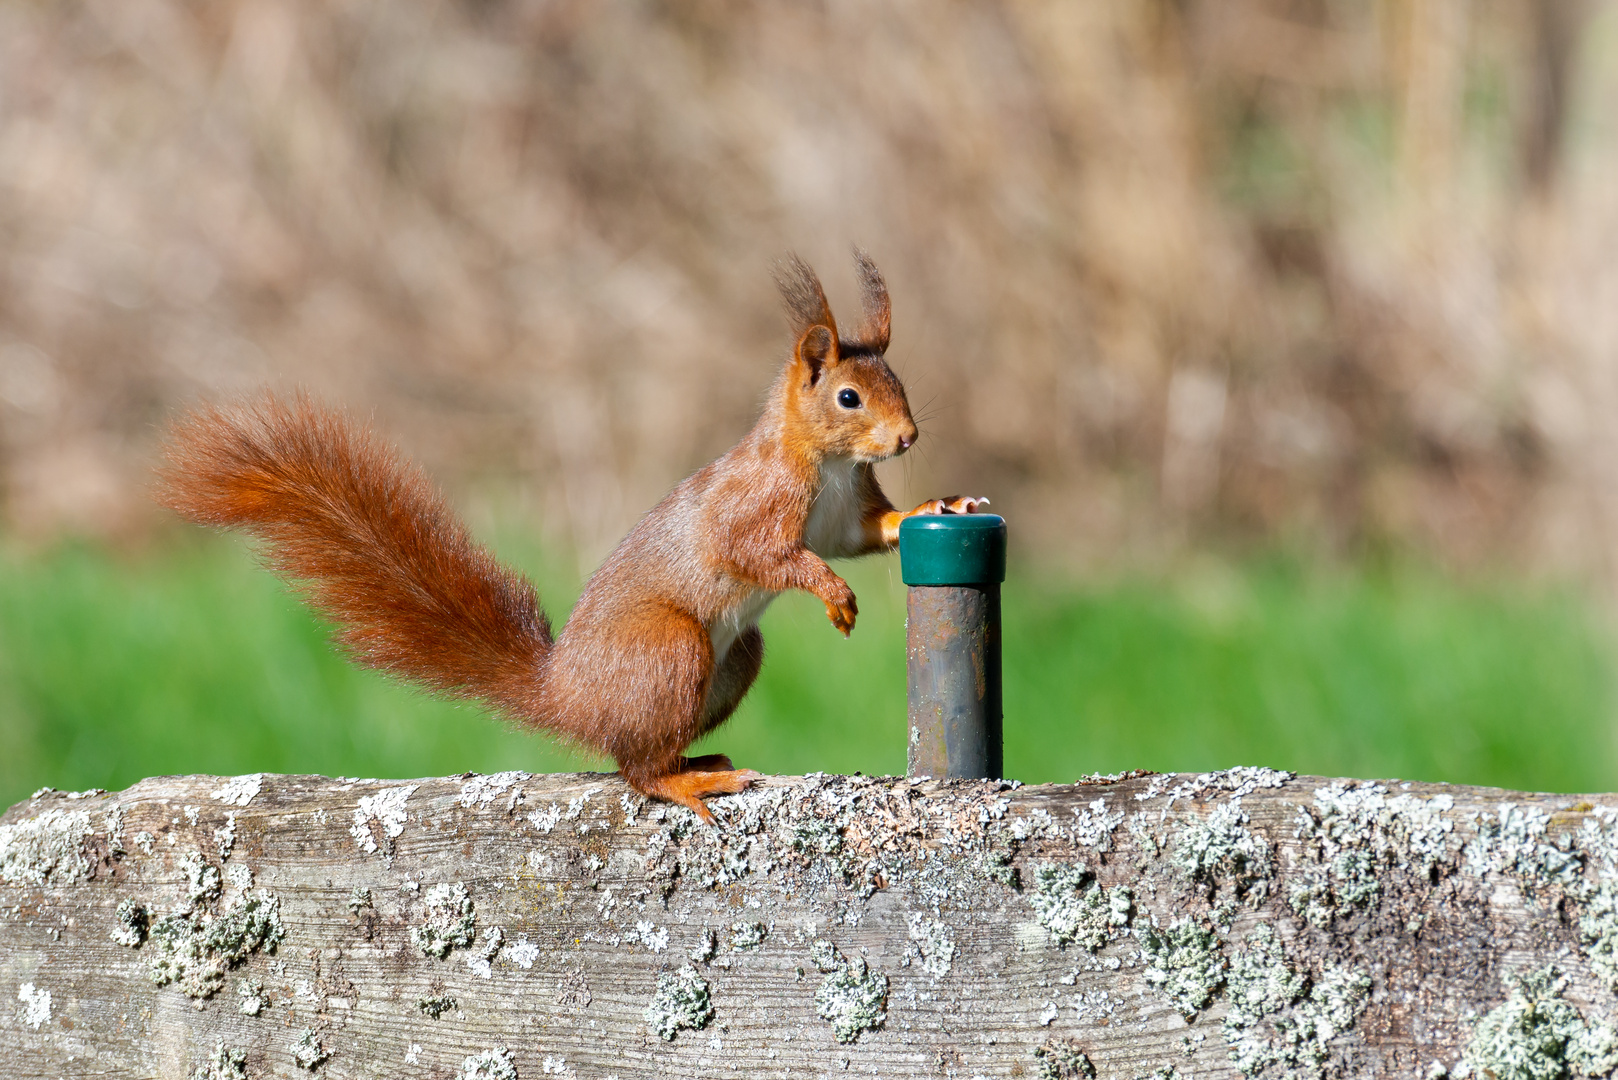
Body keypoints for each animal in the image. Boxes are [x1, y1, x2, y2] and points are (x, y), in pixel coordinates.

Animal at [157, 254, 983, 822]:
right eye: (847, 397)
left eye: (900, 386)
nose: (907, 438)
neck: (828, 464)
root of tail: (565, 696)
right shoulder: (756, 508)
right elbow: (769, 556)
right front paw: (832, 593)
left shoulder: (844, 513)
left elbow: (868, 533)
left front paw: (936, 503)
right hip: (669, 649)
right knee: (637, 770)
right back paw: (692, 781)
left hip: (733, 659)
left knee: (634, 753)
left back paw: (699, 757)